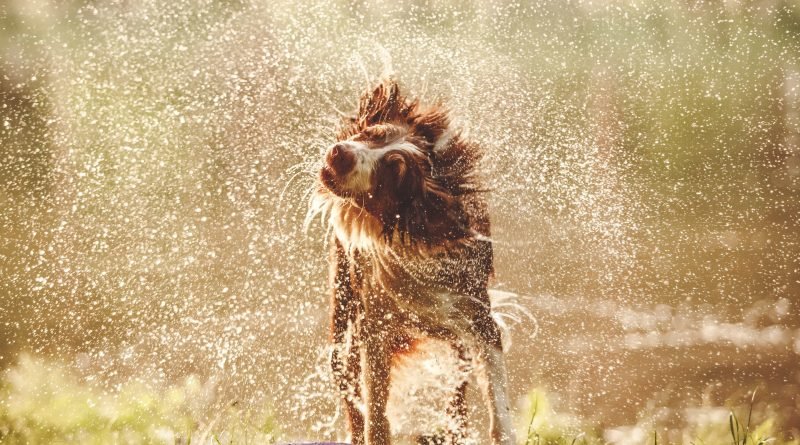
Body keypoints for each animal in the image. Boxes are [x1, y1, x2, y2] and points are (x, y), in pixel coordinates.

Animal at [306, 80, 520, 444]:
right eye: (371, 133)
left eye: (393, 171)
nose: (340, 153)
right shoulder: (374, 325)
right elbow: (375, 412)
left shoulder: (477, 315)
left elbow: (495, 394)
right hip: (343, 313)